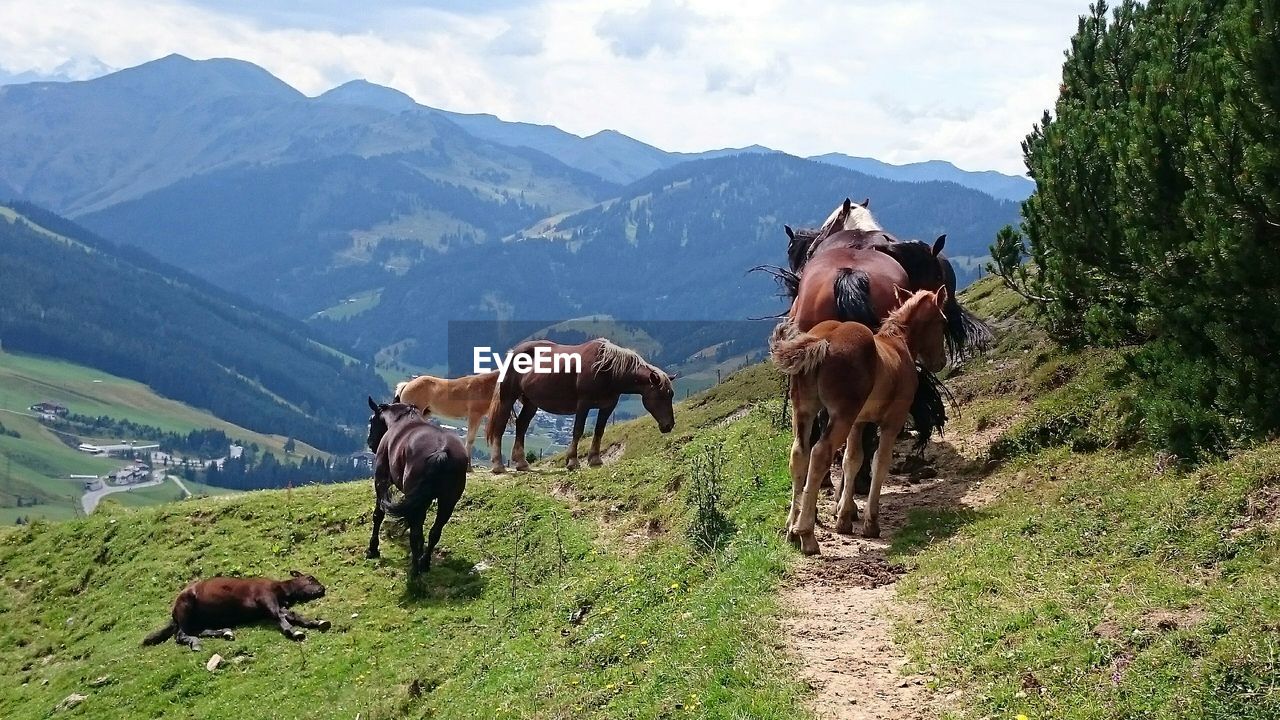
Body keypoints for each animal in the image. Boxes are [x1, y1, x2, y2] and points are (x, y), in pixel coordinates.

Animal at [142, 568, 330, 648]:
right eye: (310, 578)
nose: (322, 589)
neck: (281, 589)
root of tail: (174, 611)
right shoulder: (265, 598)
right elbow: (280, 616)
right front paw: (293, 631)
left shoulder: (273, 606)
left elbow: (292, 614)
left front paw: (318, 622)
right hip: (186, 608)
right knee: (181, 634)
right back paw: (195, 643)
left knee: (198, 630)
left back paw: (225, 632)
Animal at [363, 394, 468, 573]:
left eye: (371, 419)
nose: (370, 443)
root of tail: (442, 452)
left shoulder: (381, 481)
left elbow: (378, 515)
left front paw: (373, 549)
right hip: (447, 501)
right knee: (434, 532)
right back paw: (424, 562)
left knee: (416, 533)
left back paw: (415, 570)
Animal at [483, 335, 675, 471]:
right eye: (661, 395)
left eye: (671, 394)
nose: (669, 425)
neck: (607, 369)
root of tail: (514, 352)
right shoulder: (583, 404)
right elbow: (578, 431)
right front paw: (573, 461)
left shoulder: (607, 407)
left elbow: (599, 431)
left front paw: (595, 459)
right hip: (508, 397)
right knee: (500, 427)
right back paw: (498, 465)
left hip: (531, 402)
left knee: (521, 425)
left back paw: (522, 463)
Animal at [768, 285, 952, 556]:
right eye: (943, 320)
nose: (940, 361)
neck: (897, 344)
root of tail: (823, 340)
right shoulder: (891, 422)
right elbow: (880, 463)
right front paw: (870, 523)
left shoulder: (858, 422)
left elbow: (851, 460)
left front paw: (844, 517)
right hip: (841, 415)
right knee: (820, 454)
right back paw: (806, 534)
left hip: (804, 411)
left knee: (799, 454)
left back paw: (791, 528)